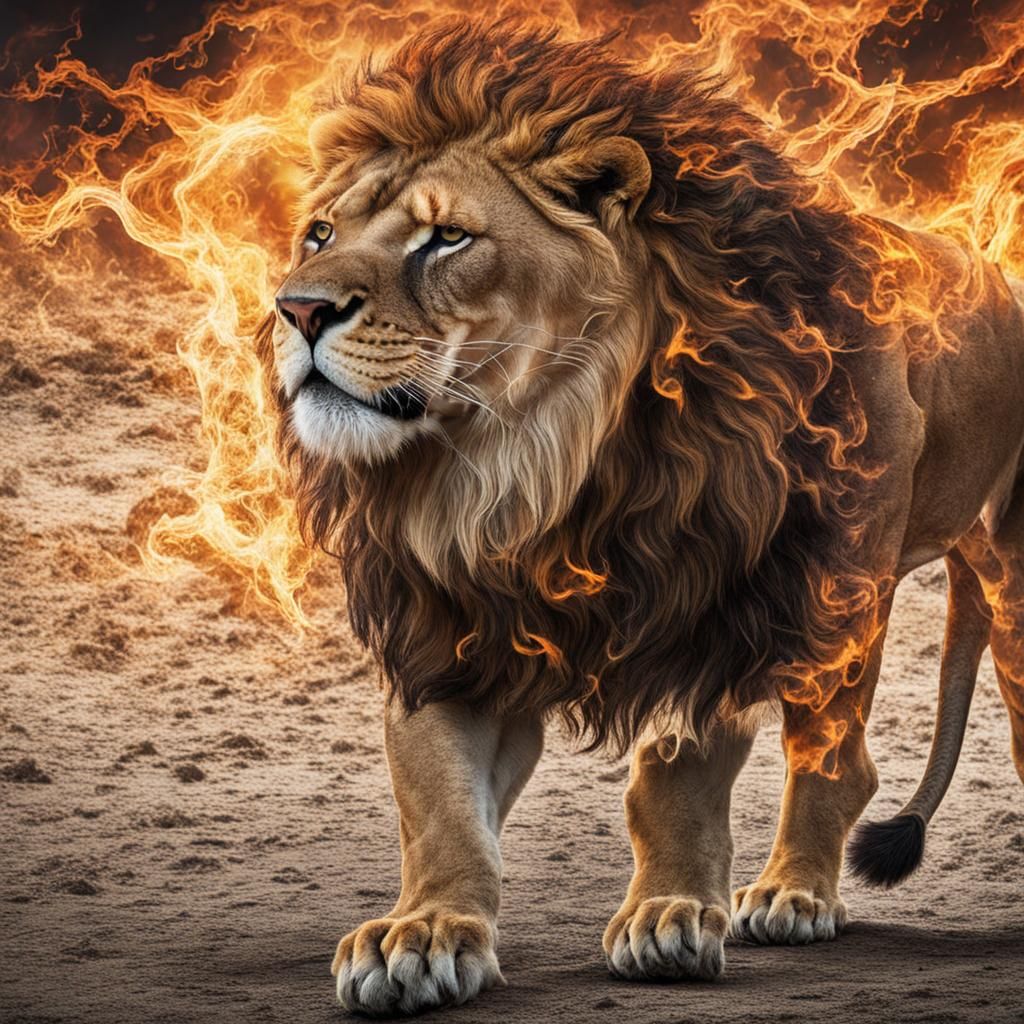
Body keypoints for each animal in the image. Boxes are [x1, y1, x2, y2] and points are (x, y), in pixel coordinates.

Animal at [256, 18, 1024, 1015]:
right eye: (319, 233)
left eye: (448, 238)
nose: (297, 307)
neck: (522, 468)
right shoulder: (449, 634)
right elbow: (439, 801)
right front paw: (422, 932)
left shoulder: (720, 601)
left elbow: (675, 778)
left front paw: (668, 915)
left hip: (879, 594)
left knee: (843, 760)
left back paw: (794, 891)